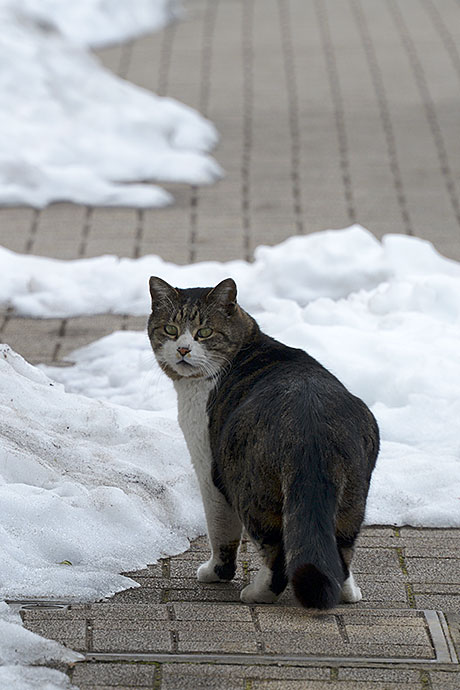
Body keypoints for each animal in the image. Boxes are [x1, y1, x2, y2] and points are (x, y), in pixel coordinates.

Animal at [149, 274, 380, 608]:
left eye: (204, 332)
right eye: (170, 329)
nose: (182, 349)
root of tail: (310, 424)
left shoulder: (210, 470)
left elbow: (221, 531)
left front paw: (215, 572)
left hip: (250, 489)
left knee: (277, 553)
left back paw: (257, 593)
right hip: (353, 496)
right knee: (342, 548)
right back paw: (347, 593)